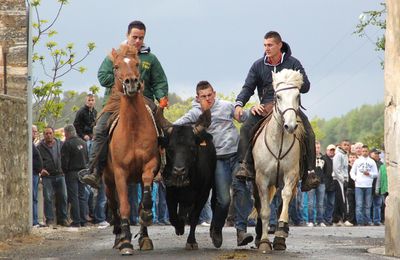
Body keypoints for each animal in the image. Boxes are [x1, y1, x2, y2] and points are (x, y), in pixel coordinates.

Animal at [101, 44, 159, 254]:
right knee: (114, 206)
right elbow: (125, 207)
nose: (131, 83)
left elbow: (144, 202)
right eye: (116, 66)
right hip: (108, 181)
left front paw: (146, 221)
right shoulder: (120, 173)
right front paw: (126, 242)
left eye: (136, 64)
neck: (132, 128)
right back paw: (119, 237)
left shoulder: (150, 165)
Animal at [253, 68, 306, 253]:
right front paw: (263, 242)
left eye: (297, 95)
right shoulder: (261, 178)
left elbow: (285, 198)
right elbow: (264, 211)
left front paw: (281, 233)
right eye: (278, 96)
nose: (290, 126)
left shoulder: (291, 175)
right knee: (260, 205)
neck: (279, 142)